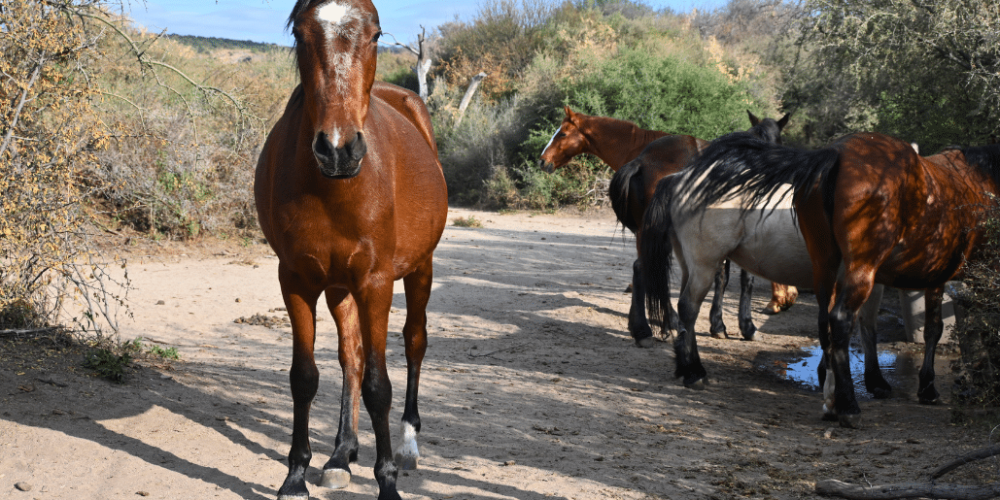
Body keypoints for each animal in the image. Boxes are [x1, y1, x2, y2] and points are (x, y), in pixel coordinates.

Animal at [256, 0, 448, 500]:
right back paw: (342, 453)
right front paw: (295, 476)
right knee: (352, 358)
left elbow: (381, 386)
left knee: (414, 342)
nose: (338, 149)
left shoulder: (376, 283)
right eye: (301, 34)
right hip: (339, 287)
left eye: (376, 34)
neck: (335, 189)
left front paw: (388, 483)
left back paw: (407, 445)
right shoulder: (296, 280)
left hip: (419, 270)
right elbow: (305, 377)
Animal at [536, 107, 792, 346]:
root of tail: (642, 162)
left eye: (563, 133)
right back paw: (653, 328)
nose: (542, 160)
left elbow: (721, 276)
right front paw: (742, 326)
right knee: (649, 270)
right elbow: (739, 279)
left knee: (645, 268)